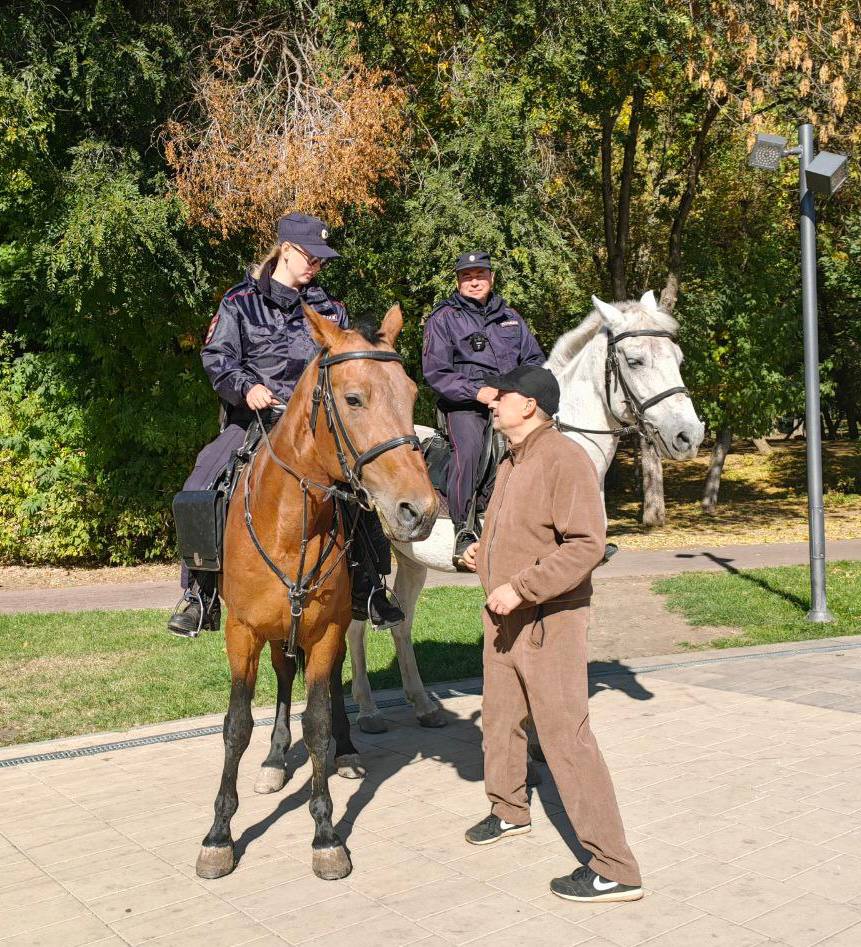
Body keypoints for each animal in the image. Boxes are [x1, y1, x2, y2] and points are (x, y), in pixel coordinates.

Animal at [195, 304, 436, 880]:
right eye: (353, 398)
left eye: (409, 393)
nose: (419, 510)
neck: (291, 525)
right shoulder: (241, 632)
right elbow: (236, 726)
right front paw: (219, 834)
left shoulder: (324, 630)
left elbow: (320, 722)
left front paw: (326, 834)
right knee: (285, 681)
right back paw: (273, 759)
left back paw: (346, 751)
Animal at [344, 294, 704, 732]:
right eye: (634, 360)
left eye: (679, 358)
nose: (689, 435)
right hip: (364, 562)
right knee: (356, 629)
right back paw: (367, 710)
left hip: (411, 561)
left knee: (402, 624)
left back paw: (424, 705)